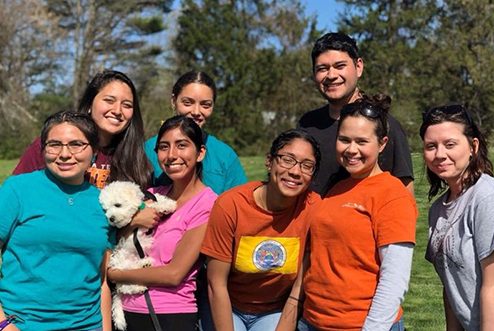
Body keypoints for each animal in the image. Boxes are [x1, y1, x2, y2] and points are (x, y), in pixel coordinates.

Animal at [99, 182, 178, 331]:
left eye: (117, 205)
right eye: (105, 210)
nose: (111, 218)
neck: (140, 204)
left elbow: (157, 197)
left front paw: (169, 204)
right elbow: (152, 206)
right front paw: (162, 207)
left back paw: (144, 266)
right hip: (120, 264)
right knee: (124, 284)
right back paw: (140, 282)